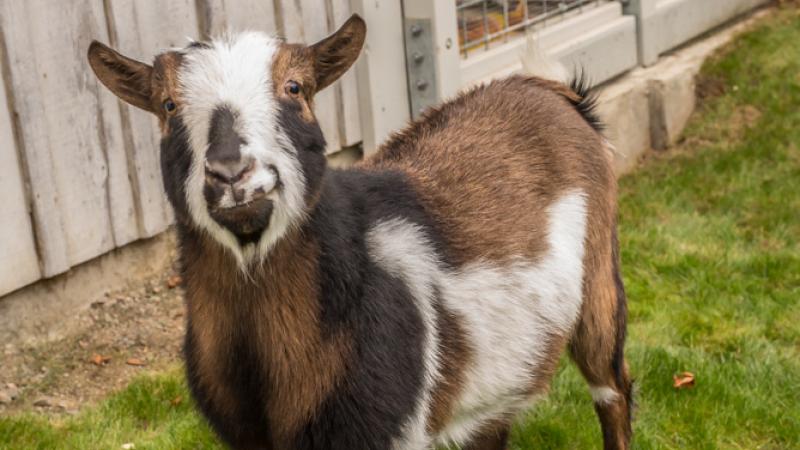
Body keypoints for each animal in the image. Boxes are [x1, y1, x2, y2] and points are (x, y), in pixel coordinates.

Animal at [87, 14, 636, 450]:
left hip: (599, 281)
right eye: (167, 106)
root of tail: (549, 89)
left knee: (613, 388)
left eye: (296, 88)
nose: (231, 173)